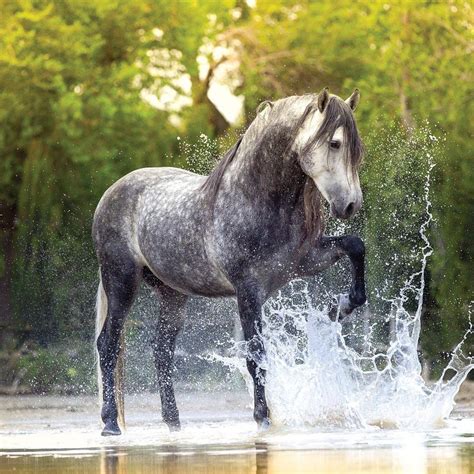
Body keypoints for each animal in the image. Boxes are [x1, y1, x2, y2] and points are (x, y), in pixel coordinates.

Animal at [92, 87, 366, 436]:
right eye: (334, 143)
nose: (350, 205)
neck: (255, 198)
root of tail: (112, 193)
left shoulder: (304, 262)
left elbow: (355, 246)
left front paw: (341, 306)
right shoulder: (248, 290)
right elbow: (256, 355)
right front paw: (263, 418)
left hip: (172, 294)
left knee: (162, 350)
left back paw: (173, 421)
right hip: (121, 281)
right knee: (108, 345)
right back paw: (110, 423)